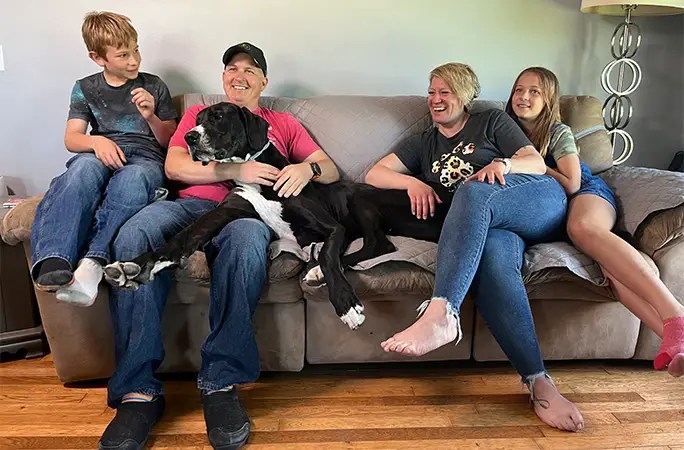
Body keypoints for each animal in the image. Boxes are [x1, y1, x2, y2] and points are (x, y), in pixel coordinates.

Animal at [103, 103, 454, 330]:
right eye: (197, 118)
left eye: (218, 117)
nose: (189, 137)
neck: (256, 175)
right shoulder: (226, 211)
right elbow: (182, 238)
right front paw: (140, 264)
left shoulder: (333, 227)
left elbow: (328, 254)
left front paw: (346, 303)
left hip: (361, 197)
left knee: (380, 245)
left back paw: (319, 271)